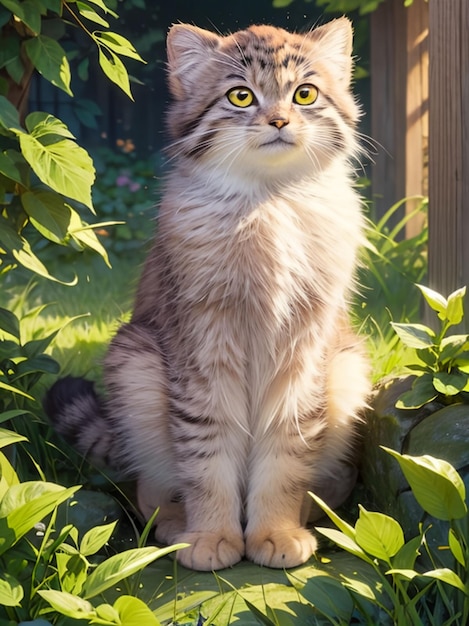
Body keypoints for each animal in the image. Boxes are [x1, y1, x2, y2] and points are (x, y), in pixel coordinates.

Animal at [45, 15, 372, 572]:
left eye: (304, 94)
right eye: (241, 97)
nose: (280, 120)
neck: (269, 205)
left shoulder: (304, 348)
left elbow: (286, 456)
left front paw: (276, 532)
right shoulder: (202, 346)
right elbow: (206, 457)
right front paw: (212, 536)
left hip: (348, 371)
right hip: (136, 366)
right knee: (151, 490)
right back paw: (176, 527)